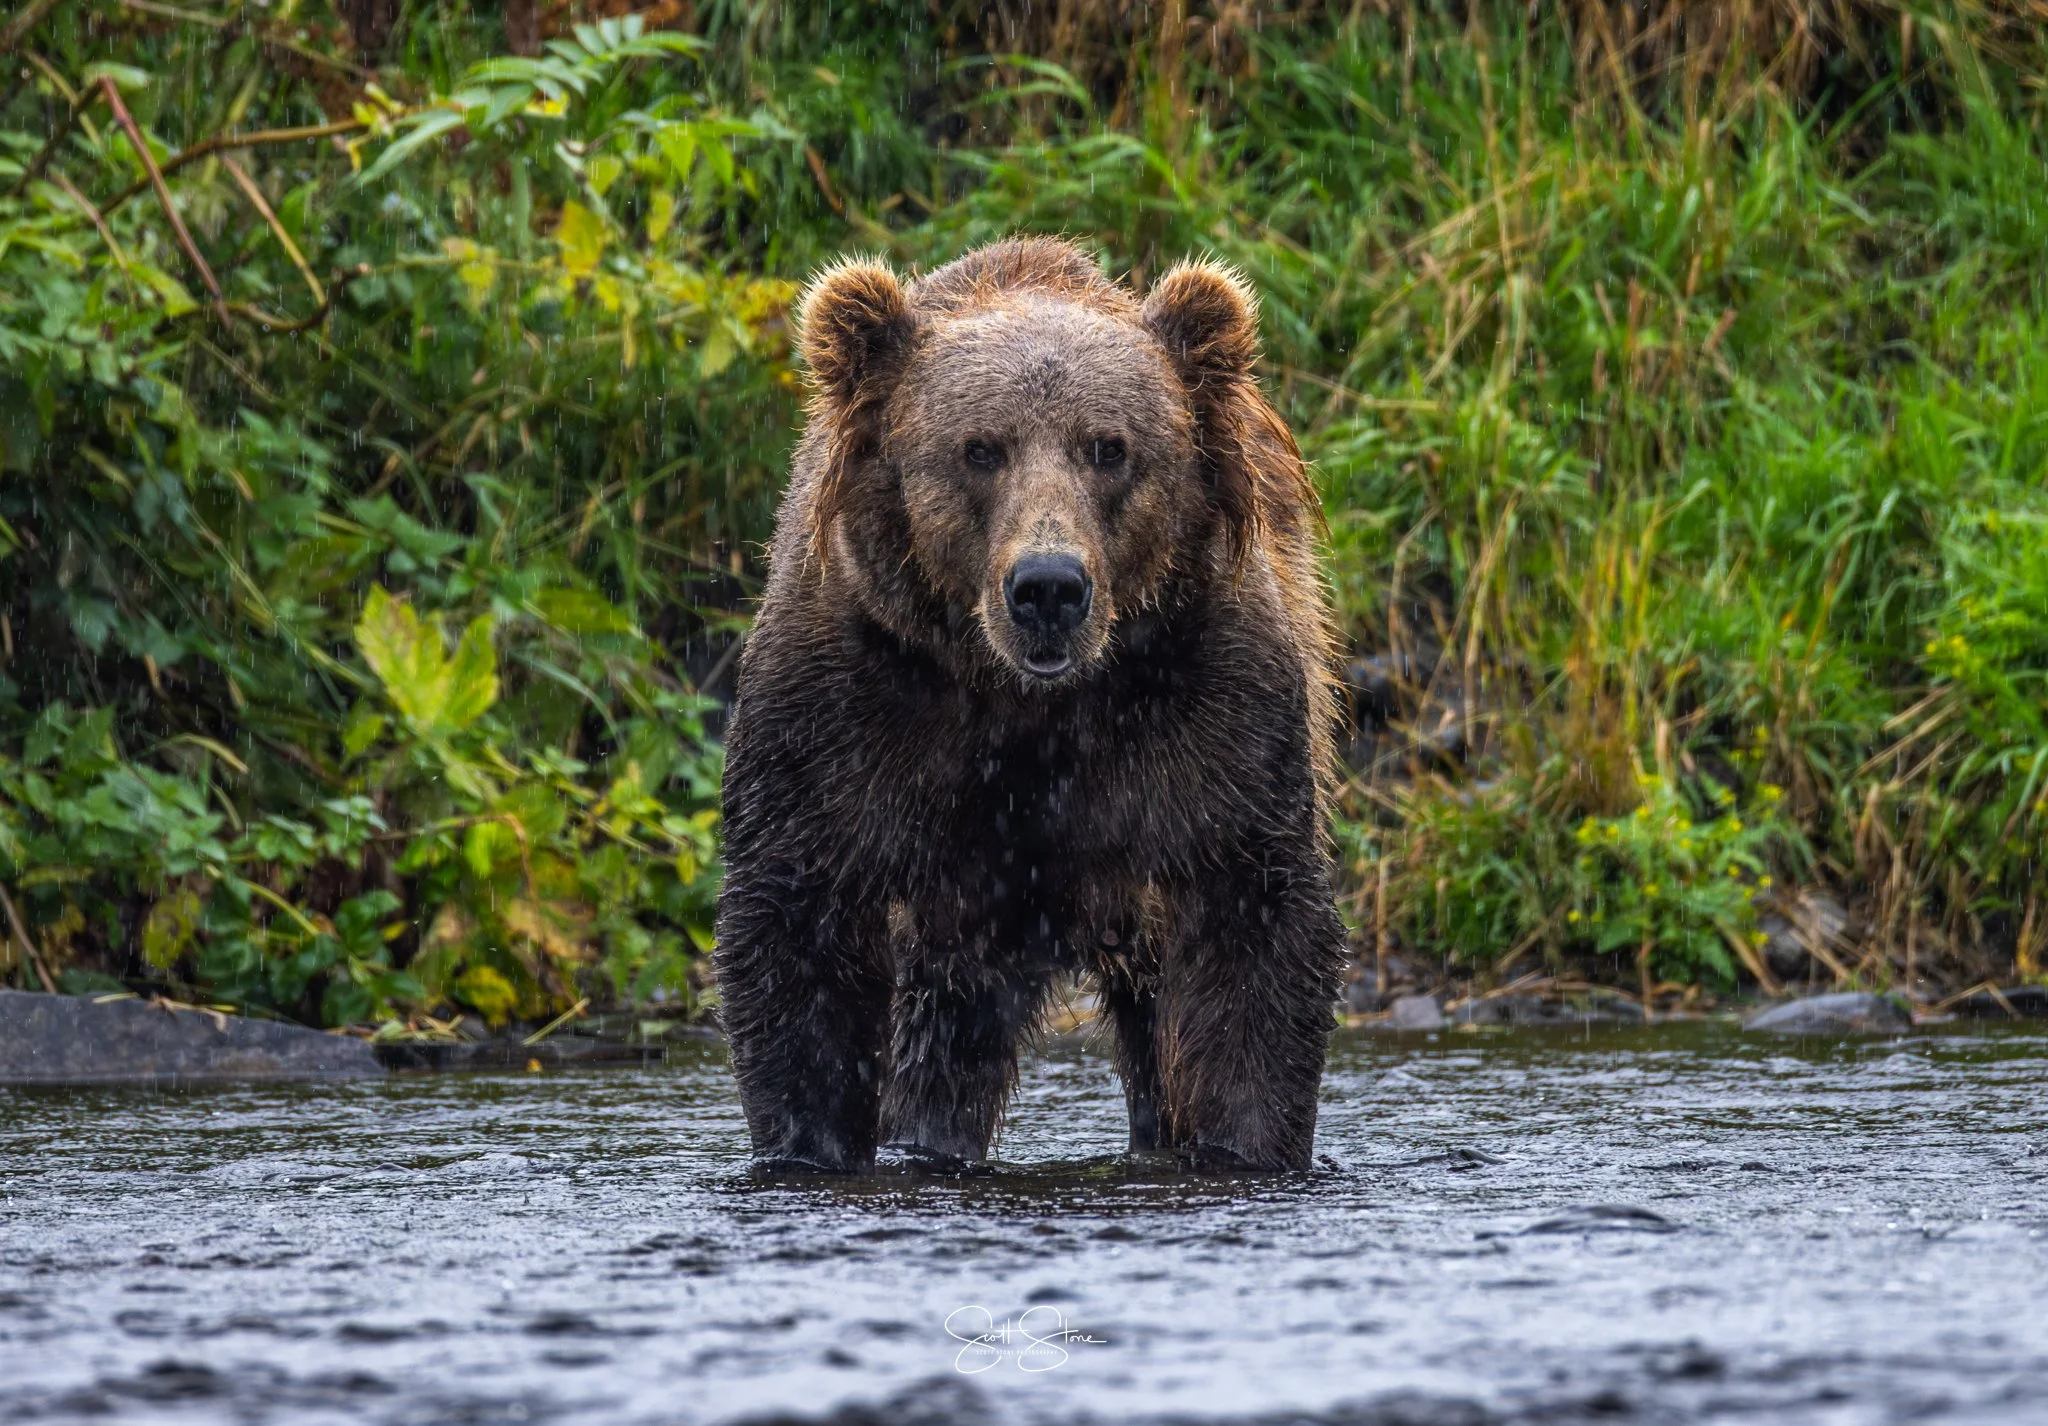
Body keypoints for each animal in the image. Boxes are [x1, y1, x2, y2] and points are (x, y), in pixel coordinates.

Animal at [713, 236, 1346, 1172]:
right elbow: (799, 930)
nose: (1049, 587)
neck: (1024, 701)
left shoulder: (1207, 702)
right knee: (947, 1028)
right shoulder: (847, 703)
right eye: (980, 448)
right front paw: (808, 1144)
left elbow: (1251, 927)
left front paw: (1241, 1143)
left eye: (1109, 447)